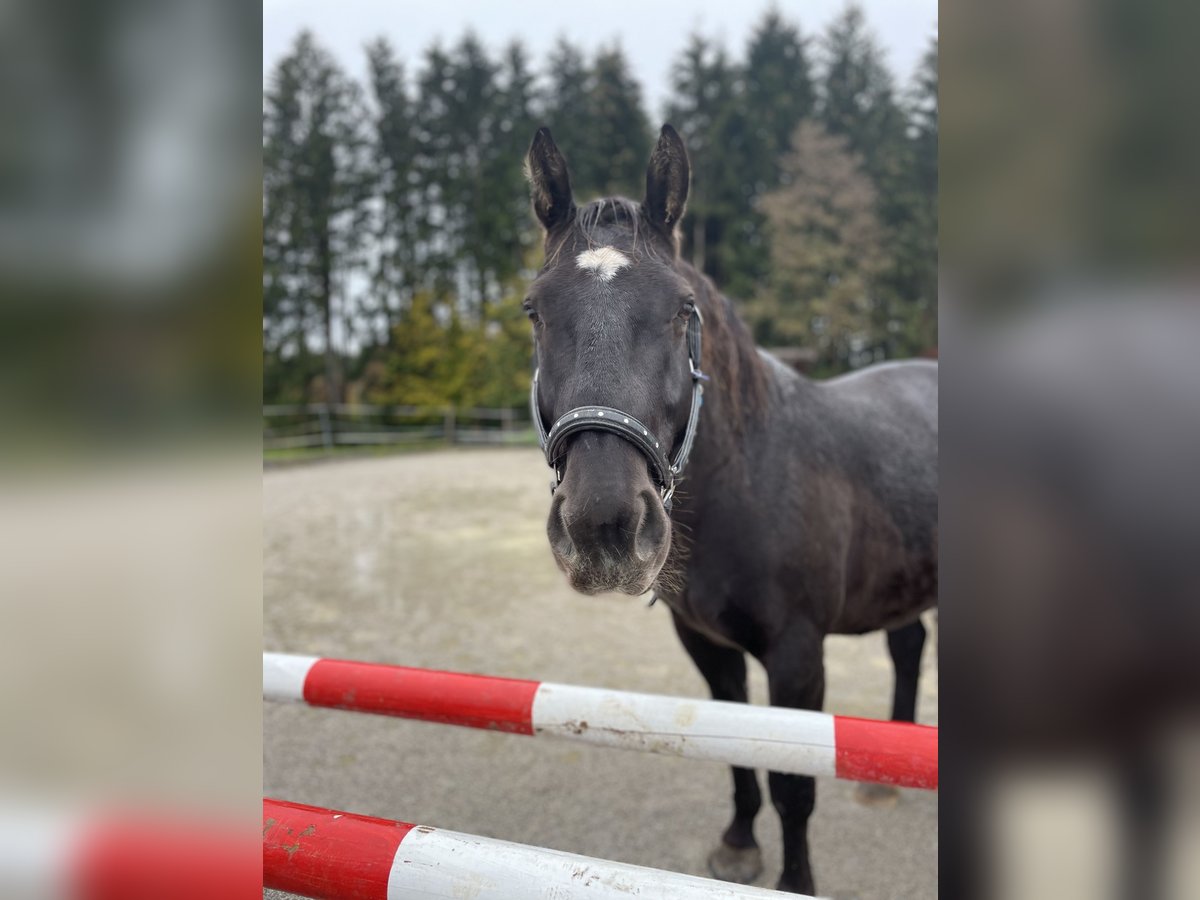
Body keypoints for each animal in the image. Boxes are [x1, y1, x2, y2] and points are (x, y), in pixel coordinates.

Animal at [525, 125, 936, 897]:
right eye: (535, 311)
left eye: (683, 308)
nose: (603, 528)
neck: (748, 477)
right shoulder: (707, 646)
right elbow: (735, 751)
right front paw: (739, 845)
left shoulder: (798, 657)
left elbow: (794, 786)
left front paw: (796, 880)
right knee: (908, 646)